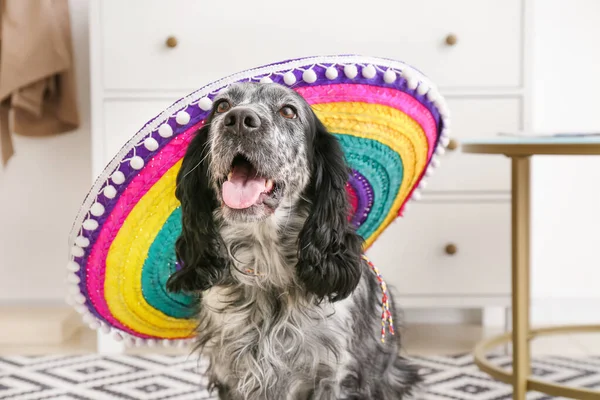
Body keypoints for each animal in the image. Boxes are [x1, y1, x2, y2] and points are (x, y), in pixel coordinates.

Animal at [163, 82, 418, 400]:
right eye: (222, 106)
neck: (268, 268)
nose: (238, 120)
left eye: (288, 111)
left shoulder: (332, 378)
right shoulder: (229, 375)